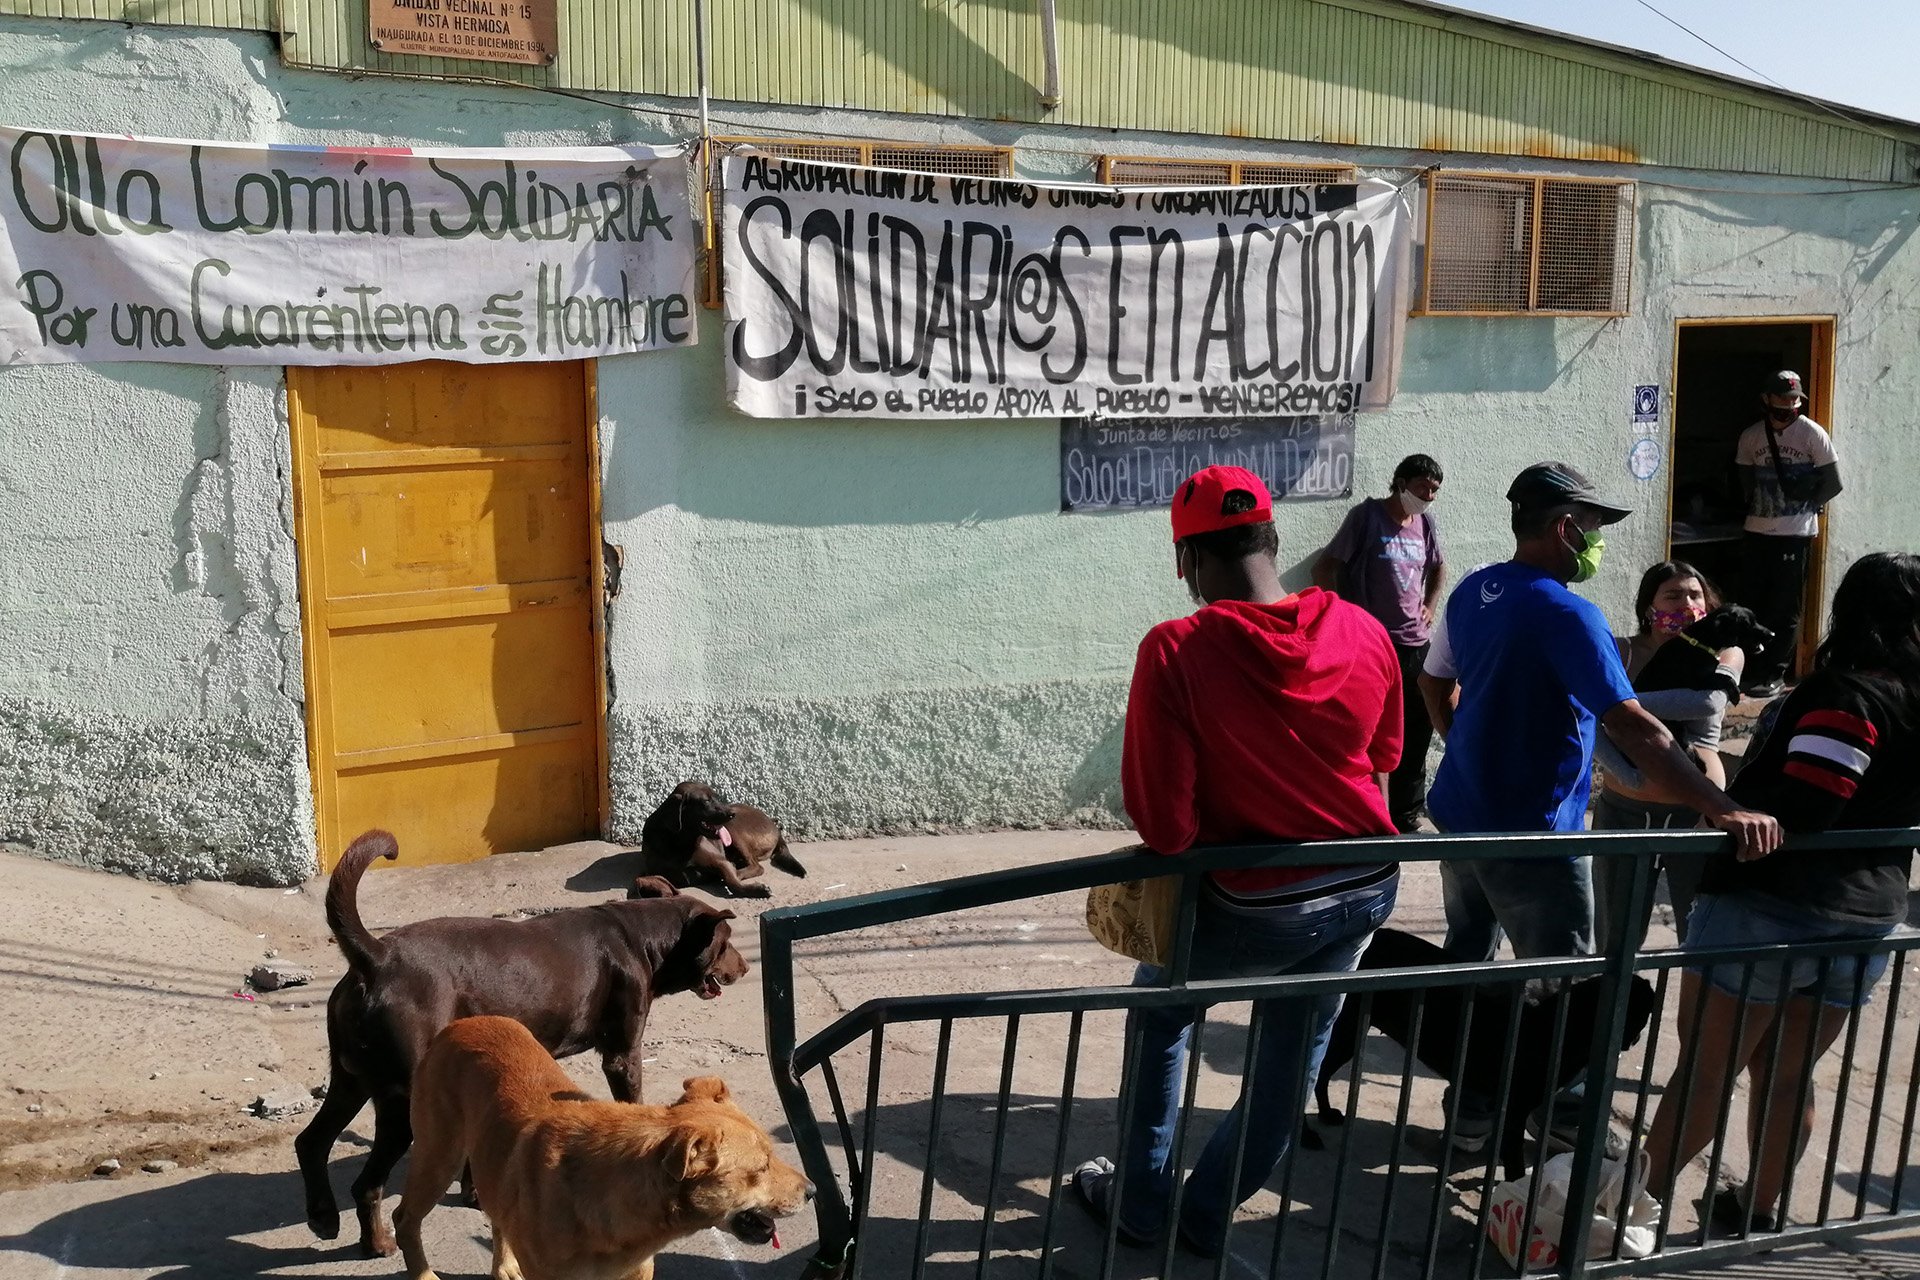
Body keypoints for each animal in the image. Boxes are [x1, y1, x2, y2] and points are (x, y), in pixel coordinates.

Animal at [297, 832, 748, 1258]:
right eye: (726, 942)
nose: (744, 967)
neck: (639, 937)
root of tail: (376, 958)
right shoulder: (622, 1055)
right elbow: (631, 1100)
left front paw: (474, 1194)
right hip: (400, 1097)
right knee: (366, 1183)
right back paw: (376, 1242)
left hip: (351, 1079)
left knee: (311, 1141)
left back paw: (323, 1216)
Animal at [393, 1020, 814, 1280]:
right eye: (761, 1167)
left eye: (773, 1155)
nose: (812, 1191)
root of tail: (460, 1023)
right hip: (438, 1158)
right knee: (403, 1218)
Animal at [637, 782, 802, 901]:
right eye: (706, 801)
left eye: (716, 797)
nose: (731, 813)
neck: (680, 841)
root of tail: (774, 826)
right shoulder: (655, 871)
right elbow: (679, 876)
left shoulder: (719, 861)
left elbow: (732, 882)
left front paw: (756, 889)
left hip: (734, 830)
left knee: (756, 866)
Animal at [1313, 932, 1658, 1182]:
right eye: (1642, 1016)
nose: (1635, 1040)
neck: (1564, 1022)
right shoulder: (1515, 1110)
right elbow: (1514, 1163)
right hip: (1344, 1032)